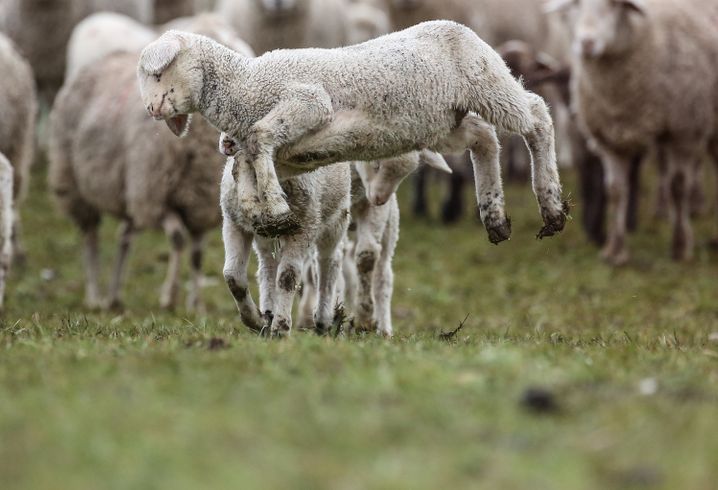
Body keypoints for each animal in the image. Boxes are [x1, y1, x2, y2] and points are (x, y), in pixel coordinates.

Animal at [46, 21, 252, 310]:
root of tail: (101, 60)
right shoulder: (154, 197)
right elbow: (177, 239)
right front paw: (170, 296)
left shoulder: (199, 206)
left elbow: (197, 254)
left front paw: (196, 304)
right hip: (74, 185)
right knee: (91, 239)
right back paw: (94, 295)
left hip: (128, 189)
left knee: (123, 237)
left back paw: (114, 296)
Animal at [138, 21, 572, 247]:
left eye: (157, 73)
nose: (151, 110)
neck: (245, 84)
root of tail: (459, 27)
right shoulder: (291, 154)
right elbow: (244, 159)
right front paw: (260, 211)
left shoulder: (308, 101)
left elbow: (259, 139)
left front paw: (274, 207)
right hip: (443, 121)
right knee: (484, 138)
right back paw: (493, 214)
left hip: (487, 83)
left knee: (536, 115)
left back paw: (551, 204)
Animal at [221, 132, 352, 336]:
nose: (227, 143)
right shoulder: (233, 223)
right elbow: (232, 276)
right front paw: (256, 321)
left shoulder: (302, 228)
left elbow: (287, 277)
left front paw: (281, 328)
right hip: (266, 237)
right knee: (267, 266)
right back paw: (268, 313)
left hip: (335, 217)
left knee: (329, 261)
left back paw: (324, 318)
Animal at [548, 0, 718, 264]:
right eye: (577, 5)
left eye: (614, 5)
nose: (587, 43)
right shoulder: (610, 139)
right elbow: (615, 191)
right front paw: (615, 250)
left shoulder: (684, 131)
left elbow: (678, 188)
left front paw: (680, 246)